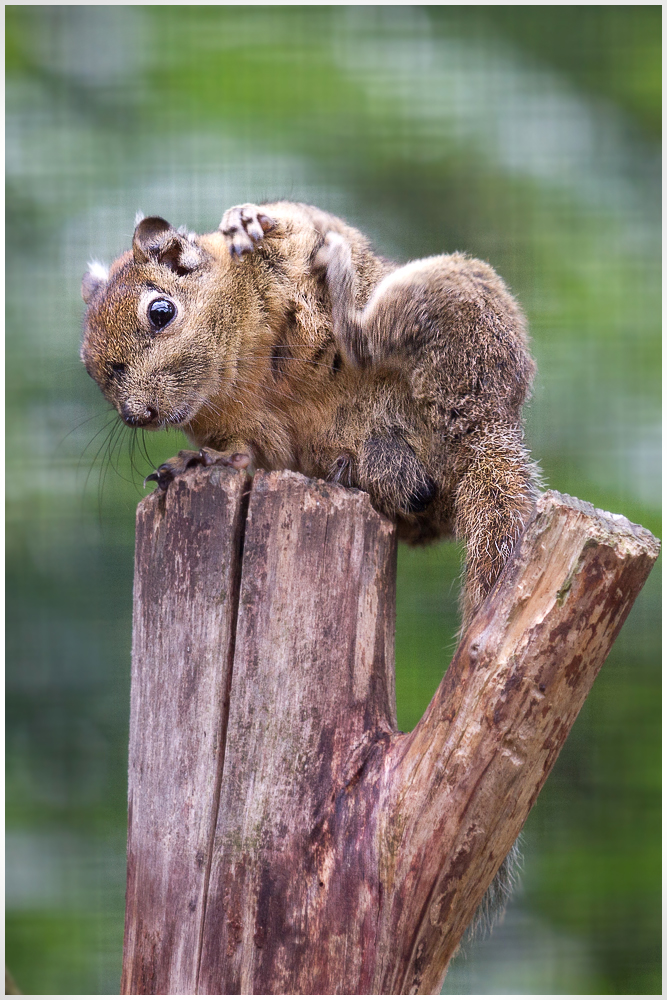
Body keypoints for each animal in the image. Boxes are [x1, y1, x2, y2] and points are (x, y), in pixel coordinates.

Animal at [81, 199, 540, 628]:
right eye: (89, 367)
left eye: (161, 312)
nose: (136, 415)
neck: (237, 372)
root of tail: (489, 421)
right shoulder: (243, 428)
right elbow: (242, 451)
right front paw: (195, 460)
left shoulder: (297, 238)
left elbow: (308, 224)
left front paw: (246, 219)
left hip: (448, 303)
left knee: (364, 344)